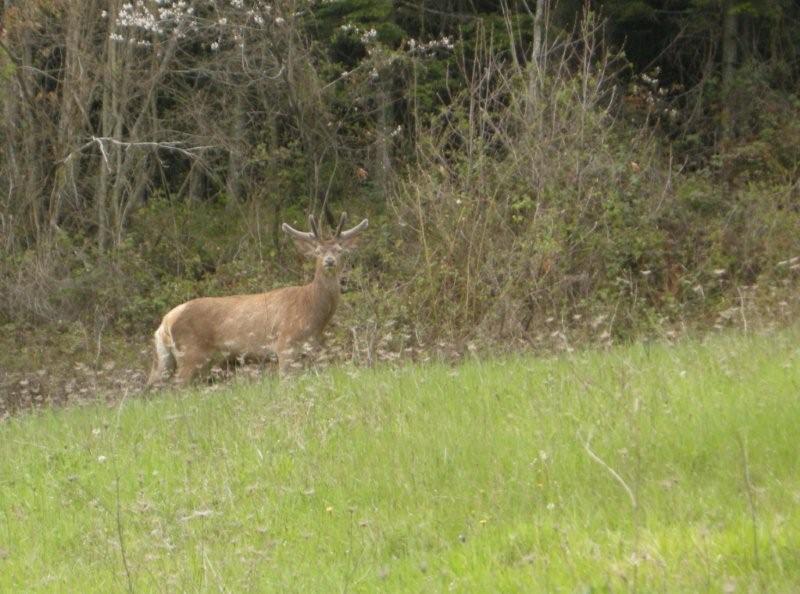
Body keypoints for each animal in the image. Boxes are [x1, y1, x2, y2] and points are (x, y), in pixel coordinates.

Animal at [148, 210, 368, 386]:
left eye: (339, 250)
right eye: (317, 251)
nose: (329, 261)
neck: (311, 311)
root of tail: (166, 321)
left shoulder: (311, 350)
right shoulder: (285, 343)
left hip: (172, 357)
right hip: (190, 352)